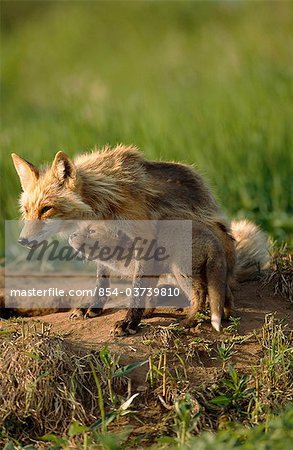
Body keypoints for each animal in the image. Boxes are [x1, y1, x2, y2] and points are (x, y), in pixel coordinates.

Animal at [10, 144, 268, 334]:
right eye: (27, 211)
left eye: (46, 209)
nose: (22, 241)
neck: (102, 202)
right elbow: (102, 281)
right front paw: (94, 307)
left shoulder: (143, 239)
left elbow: (137, 288)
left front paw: (129, 322)